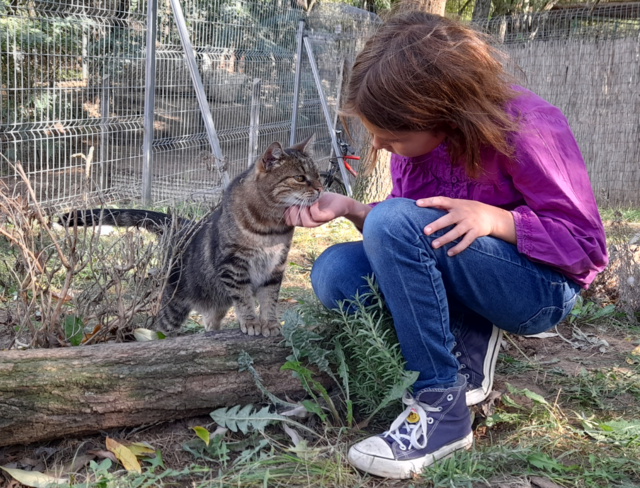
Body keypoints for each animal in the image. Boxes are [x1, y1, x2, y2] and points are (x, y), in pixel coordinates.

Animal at [63, 136, 320, 336]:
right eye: (300, 178)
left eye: (317, 174)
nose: (320, 188)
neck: (271, 227)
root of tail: (184, 224)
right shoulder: (234, 266)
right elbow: (245, 299)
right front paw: (251, 322)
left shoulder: (275, 267)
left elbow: (269, 299)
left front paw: (270, 323)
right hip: (174, 306)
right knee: (161, 329)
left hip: (216, 305)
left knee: (210, 324)